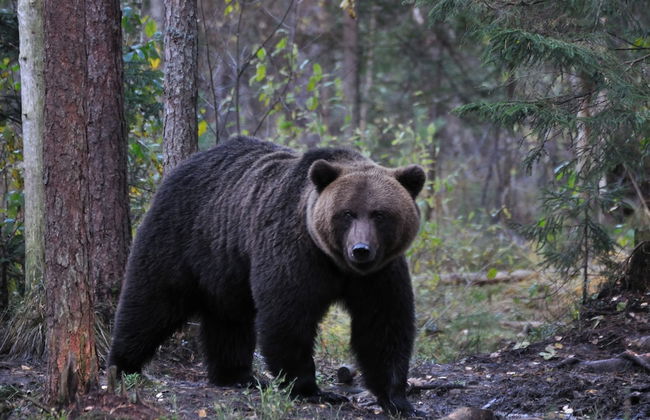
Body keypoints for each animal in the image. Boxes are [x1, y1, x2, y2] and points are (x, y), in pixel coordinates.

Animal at [108, 136, 425, 416]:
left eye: (379, 214)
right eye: (346, 213)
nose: (360, 250)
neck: (337, 263)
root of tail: (182, 166)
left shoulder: (381, 273)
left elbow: (383, 325)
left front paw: (398, 400)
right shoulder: (296, 253)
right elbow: (288, 316)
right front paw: (311, 389)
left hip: (226, 263)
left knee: (229, 318)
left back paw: (237, 375)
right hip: (180, 236)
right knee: (151, 301)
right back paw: (122, 365)